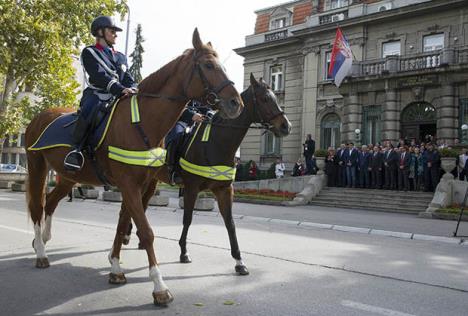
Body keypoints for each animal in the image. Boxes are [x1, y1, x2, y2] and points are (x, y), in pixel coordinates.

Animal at [23, 29, 243, 306]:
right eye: (208, 65)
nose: (236, 103)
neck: (143, 122)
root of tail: (40, 116)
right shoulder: (128, 184)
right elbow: (146, 232)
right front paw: (159, 287)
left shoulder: (138, 184)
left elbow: (122, 224)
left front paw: (116, 268)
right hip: (37, 167)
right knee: (37, 206)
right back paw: (41, 253)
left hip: (68, 176)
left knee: (50, 202)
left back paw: (42, 239)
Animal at [126, 73, 290, 274]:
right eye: (265, 99)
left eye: (274, 97)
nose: (286, 126)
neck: (216, 143)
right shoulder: (192, 188)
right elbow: (187, 219)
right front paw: (184, 252)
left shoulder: (224, 190)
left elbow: (230, 223)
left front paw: (239, 261)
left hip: (152, 182)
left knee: (142, 205)